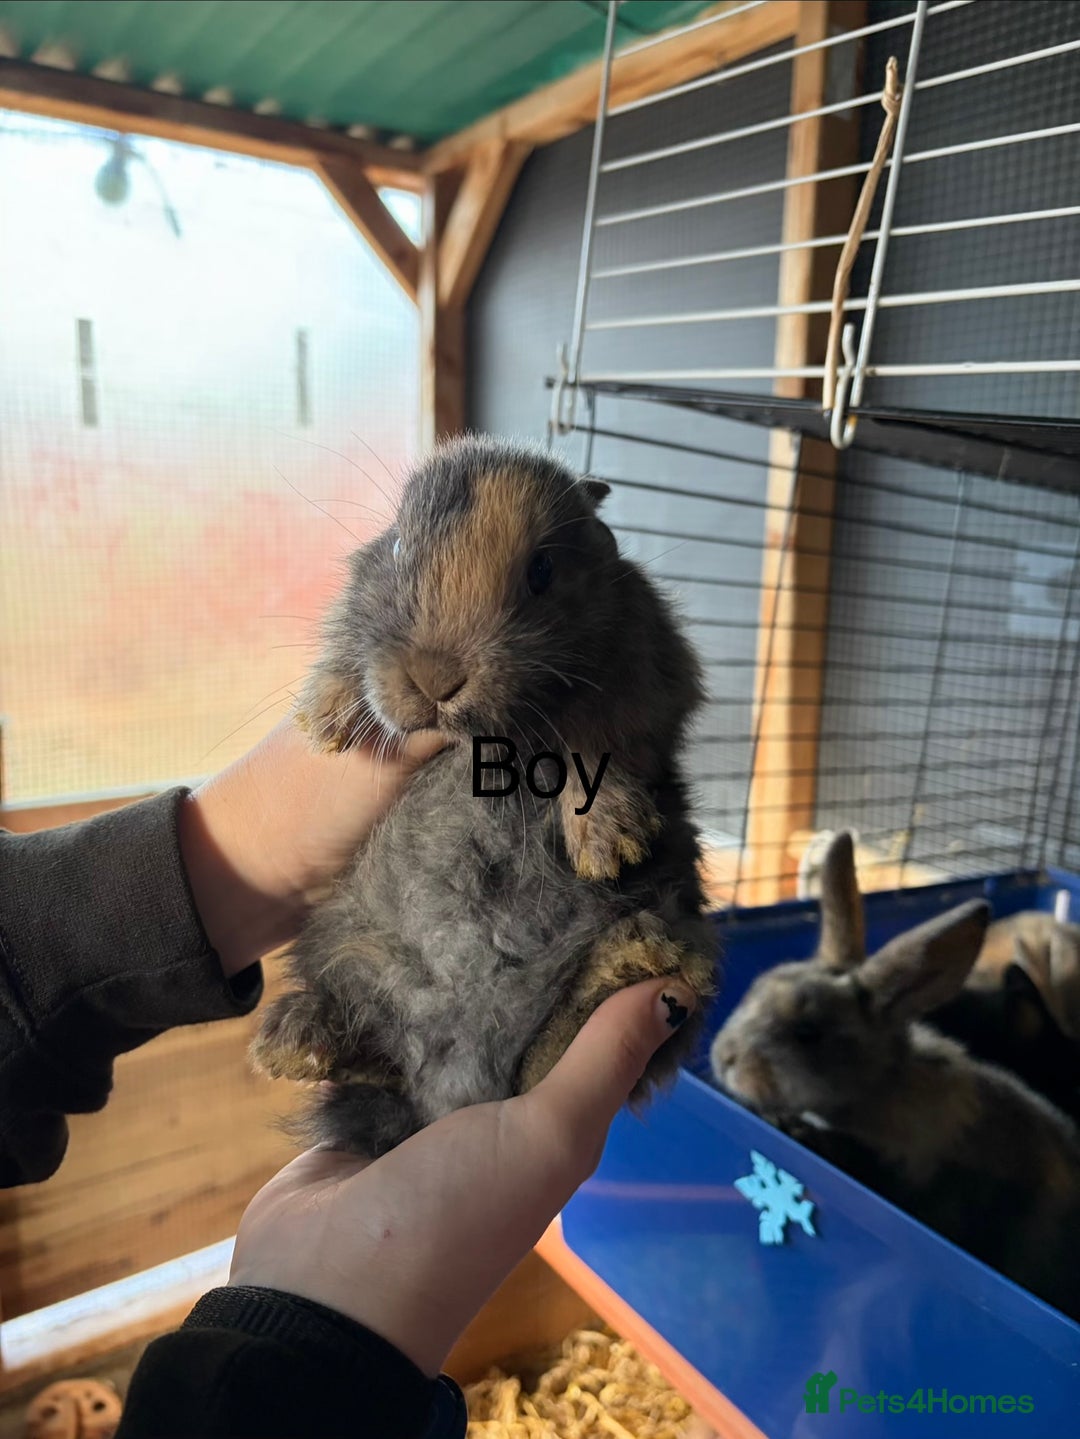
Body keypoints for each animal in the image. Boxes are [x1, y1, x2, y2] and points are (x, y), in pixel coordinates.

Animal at [250, 435, 718, 1157]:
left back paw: (627, 957)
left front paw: (610, 843)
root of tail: (446, 1081)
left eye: (543, 570)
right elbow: (344, 645)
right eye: (396, 548)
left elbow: (598, 743)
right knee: (371, 1050)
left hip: (672, 921)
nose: (433, 678)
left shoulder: (647, 673)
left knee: (542, 1059)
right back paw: (294, 1037)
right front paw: (323, 720)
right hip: (346, 948)